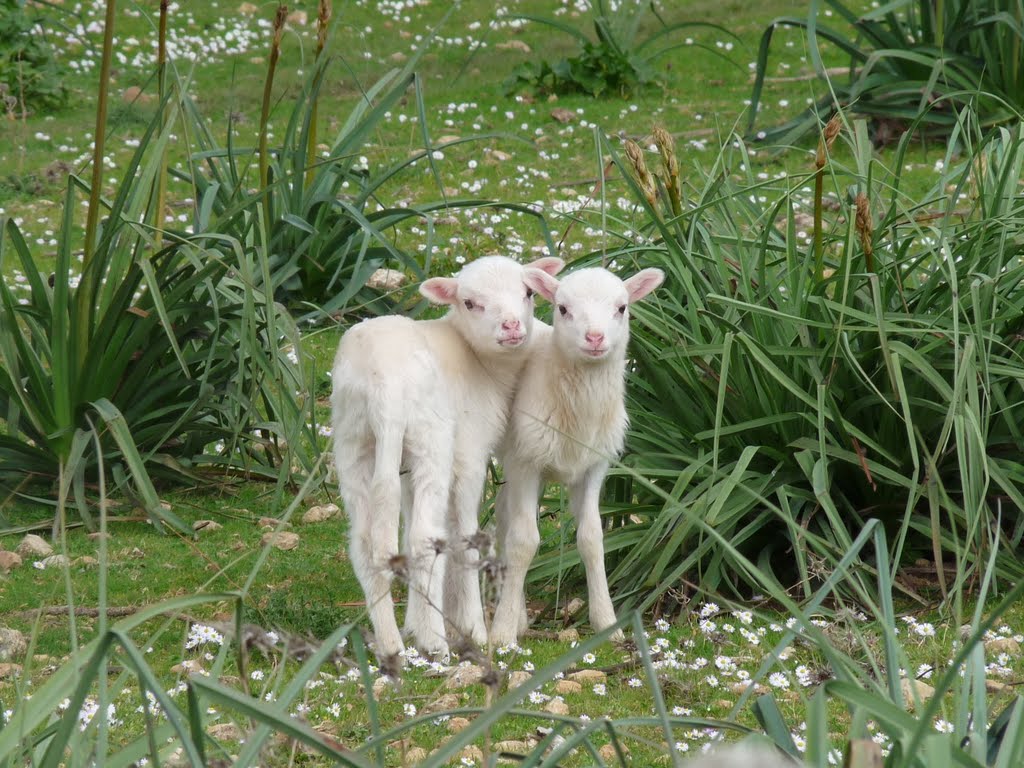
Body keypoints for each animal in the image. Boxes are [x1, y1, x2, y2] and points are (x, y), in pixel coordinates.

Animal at [331, 252, 565, 663]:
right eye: (470, 303)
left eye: (527, 292)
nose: (511, 326)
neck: (482, 364)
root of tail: (381, 383)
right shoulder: (469, 450)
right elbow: (464, 538)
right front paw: (472, 628)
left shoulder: (405, 468)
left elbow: (408, 524)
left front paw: (416, 622)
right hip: (431, 436)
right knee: (425, 538)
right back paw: (437, 645)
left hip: (354, 441)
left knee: (364, 544)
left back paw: (392, 643)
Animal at [489, 268, 663, 647]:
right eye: (563, 308)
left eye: (622, 307)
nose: (595, 337)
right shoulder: (526, 462)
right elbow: (524, 542)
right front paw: (501, 633)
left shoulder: (594, 465)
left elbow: (592, 538)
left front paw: (606, 623)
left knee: (503, 516)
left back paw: (519, 614)